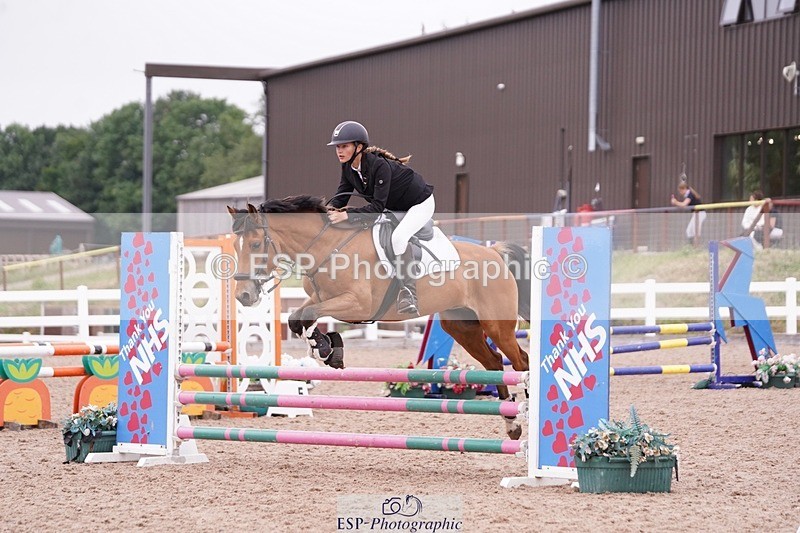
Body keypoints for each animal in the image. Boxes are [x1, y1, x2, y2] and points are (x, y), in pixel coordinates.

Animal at [227, 195, 531, 439]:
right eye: (235, 246)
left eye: (256, 243)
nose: (243, 296)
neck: (327, 247)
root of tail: (494, 252)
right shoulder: (320, 299)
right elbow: (297, 318)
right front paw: (329, 349)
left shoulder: (357, 304)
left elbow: (308, 316)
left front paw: (325, 348)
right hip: (462, 326)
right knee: (494, 363)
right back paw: (512, 424)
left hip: (496, 325)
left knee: (521, 361)